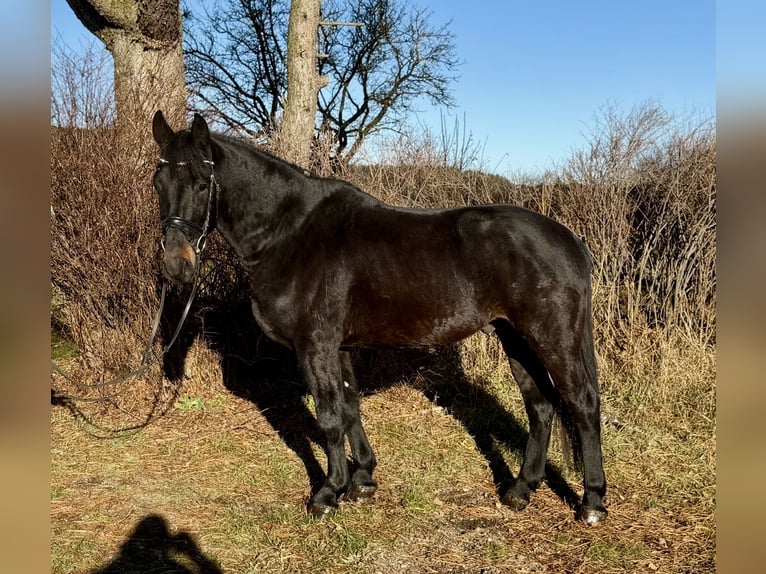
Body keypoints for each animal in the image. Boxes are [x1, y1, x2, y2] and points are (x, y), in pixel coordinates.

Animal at [150, 111, 608, 524]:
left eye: (201, 182)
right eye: (158, 182)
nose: (176, 265)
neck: (290, 233)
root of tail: (569, 239)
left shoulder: (315, 346)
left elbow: (329, 417)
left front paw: (328, 493)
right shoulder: (339, 347)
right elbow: (350, 407)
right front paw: (363, 481)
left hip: (551, 338)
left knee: (582, 404)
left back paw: (591, 503)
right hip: (514, 337)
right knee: (541, 405)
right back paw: (520, 490)